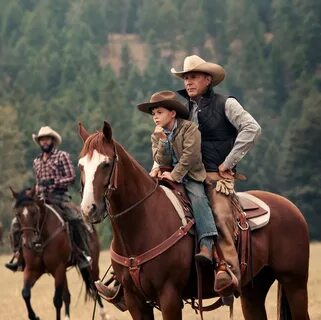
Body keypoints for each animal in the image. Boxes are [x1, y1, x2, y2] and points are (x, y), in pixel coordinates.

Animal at [10, 186, 109, 320]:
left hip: (91, 266)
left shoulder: (58, 268)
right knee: (67, 296)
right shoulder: (33, 269)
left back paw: (103, 314)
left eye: (34, 212)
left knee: (95, 285)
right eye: (18, 214)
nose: (28, 242)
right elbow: (25, 293)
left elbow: (57, 300)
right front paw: (34, 316)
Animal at [78, 120, 310, 320]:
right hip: (253, 289)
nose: (89, 209)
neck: (142, 224)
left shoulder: (170, 296)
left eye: (106, 163)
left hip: (295, 282)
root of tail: (291, 208)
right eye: (81, 165)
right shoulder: (135, 300)